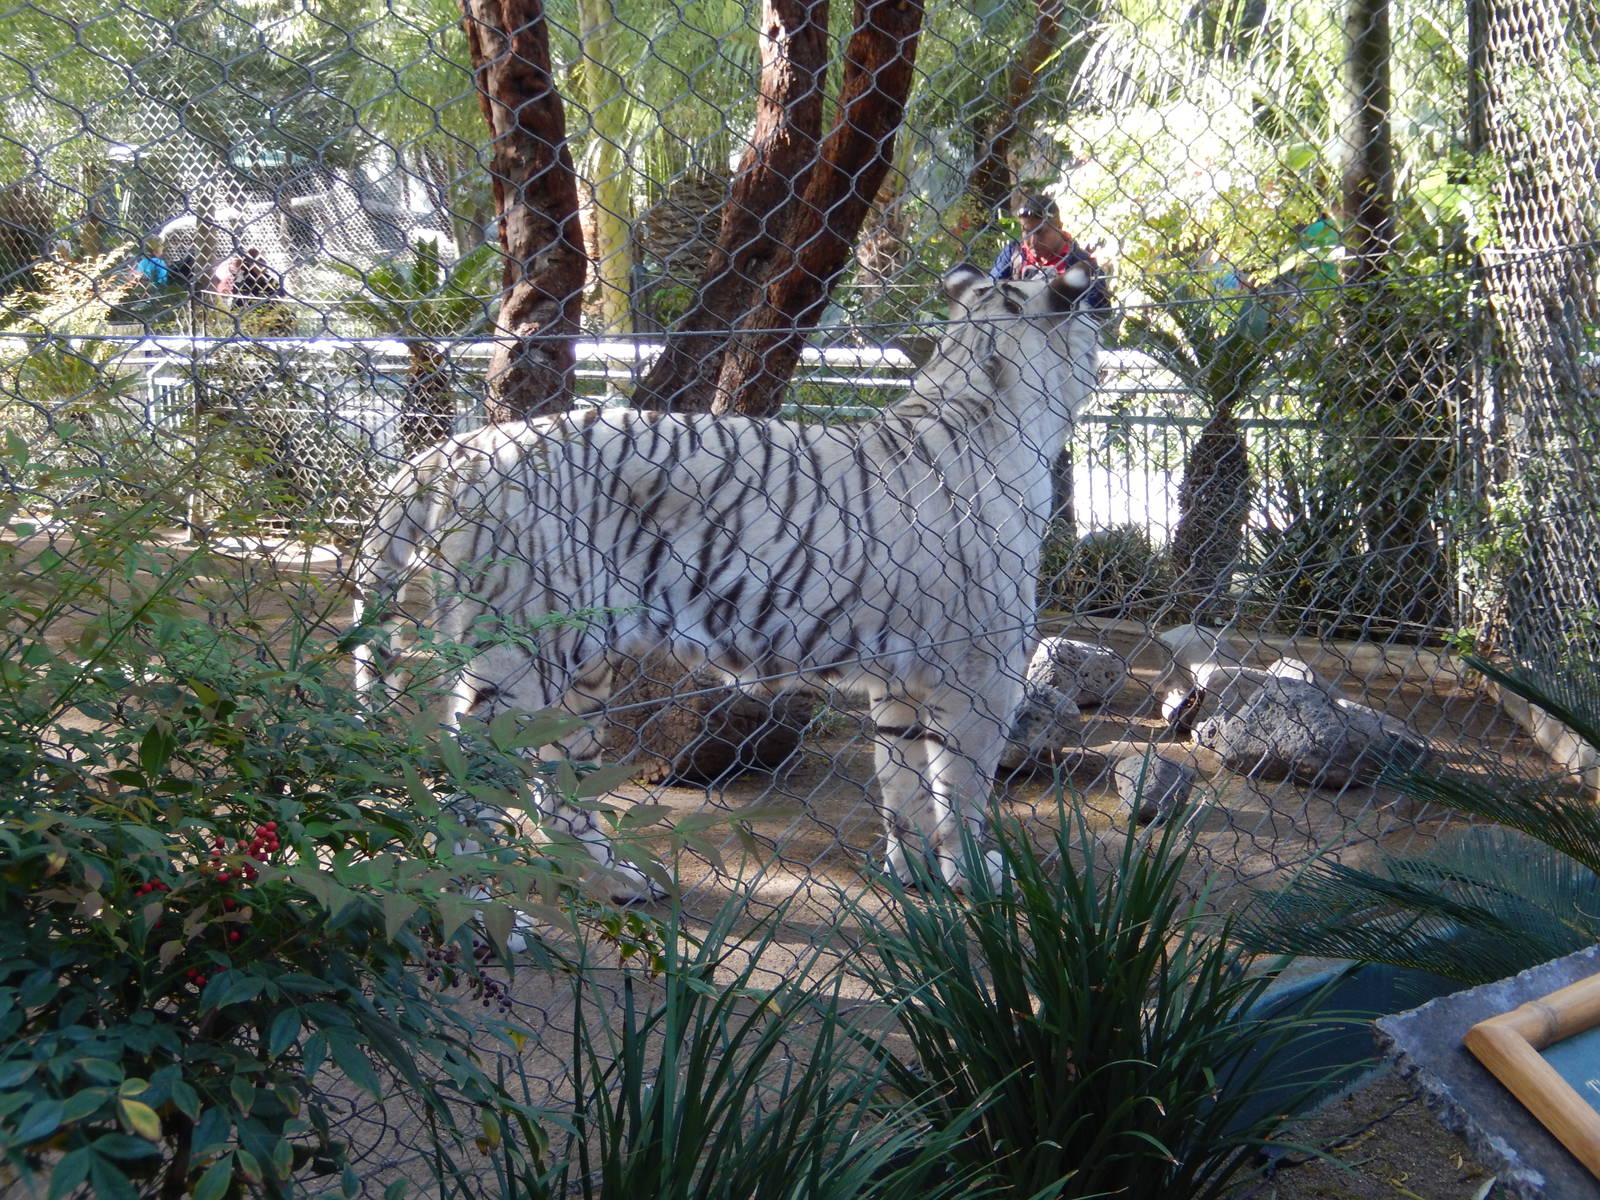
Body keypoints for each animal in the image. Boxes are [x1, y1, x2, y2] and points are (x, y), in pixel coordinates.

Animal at [353, 263, 1102, 900]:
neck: (980, 388)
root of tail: (460, 449)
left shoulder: (903, 682)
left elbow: (906, 787)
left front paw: (911, 873)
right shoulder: (983, 671)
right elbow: (964, 792)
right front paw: (979, 879)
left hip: (578, 676)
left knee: (555, 793)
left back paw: (623, 881)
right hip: (520, 666)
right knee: (469, 790)